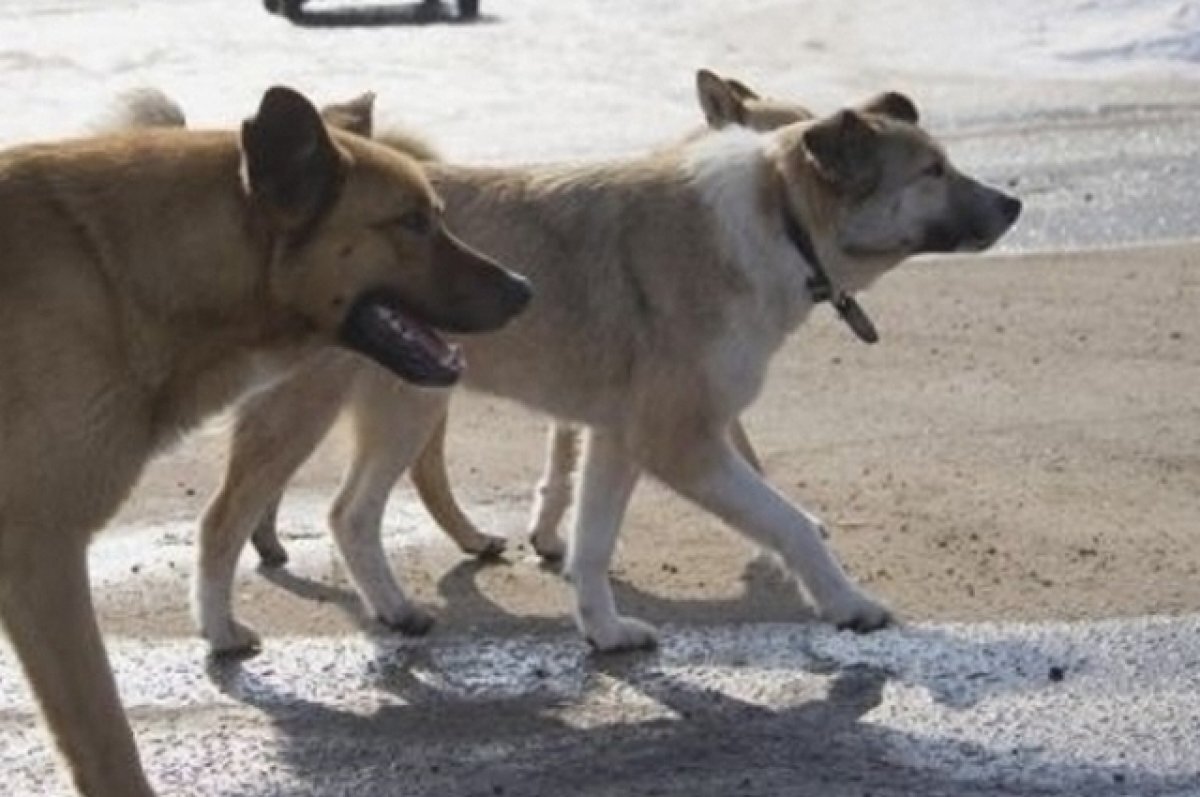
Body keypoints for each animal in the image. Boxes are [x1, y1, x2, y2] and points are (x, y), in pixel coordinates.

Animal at [0, 87, 530, 797]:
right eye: (412, 223)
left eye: (437, 217)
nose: (526, 290)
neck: (116, 271)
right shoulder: (44, 560)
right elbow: (106, 738)